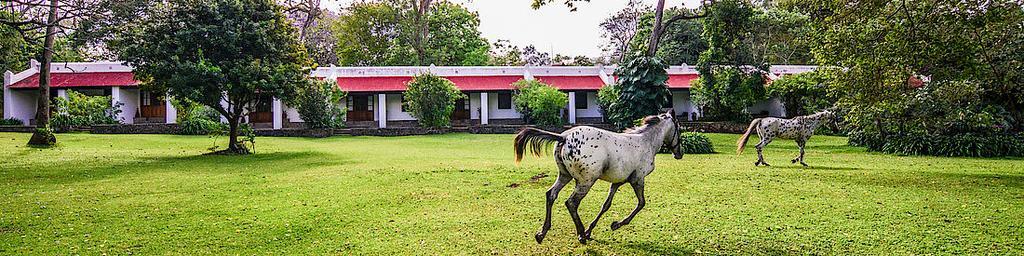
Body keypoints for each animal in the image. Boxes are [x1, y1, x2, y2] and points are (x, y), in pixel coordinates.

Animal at [509, 109, 679, 242]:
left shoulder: (618, 182)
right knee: (571, 203)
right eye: (678, 128)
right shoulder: (637, 179)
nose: (679, 154)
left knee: (551, 194)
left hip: (564, 175)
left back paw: (542, 233)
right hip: (586, 181)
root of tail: (564, 137)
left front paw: (592, 230)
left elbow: (606, 205)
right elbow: (641, 203)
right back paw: (581, 235)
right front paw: (615, 225)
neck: (646, 142)